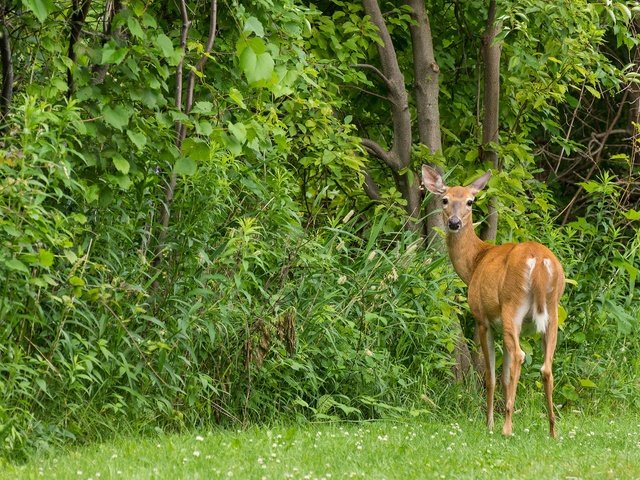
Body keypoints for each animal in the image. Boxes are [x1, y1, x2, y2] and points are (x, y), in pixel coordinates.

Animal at [424, 166, 564, 438]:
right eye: (445, 199)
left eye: (470, 201)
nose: (454, 223)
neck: (475, 263)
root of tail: (539, 262)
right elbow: (505, 376)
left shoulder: (483, 319)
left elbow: (490, 376)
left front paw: (488, 423)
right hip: (553, 312)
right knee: (546, 367)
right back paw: (552, 431)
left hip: (511, 306)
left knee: (520, 355)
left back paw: (506, 428)